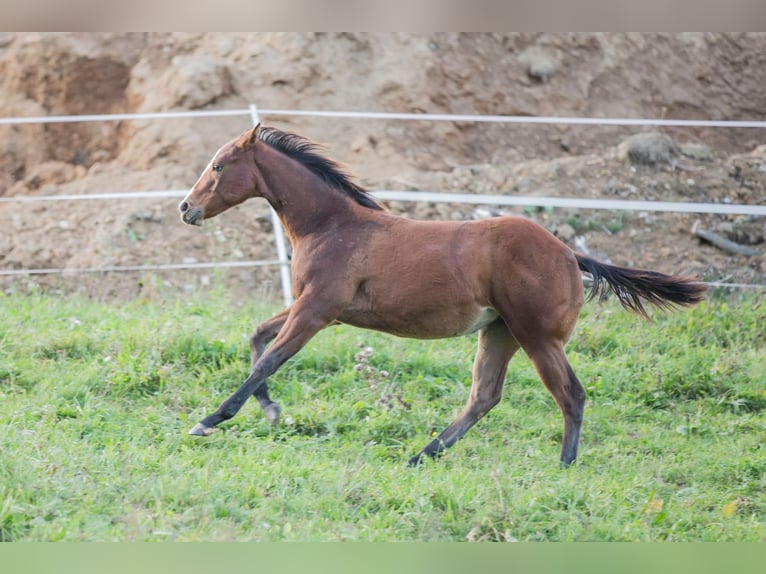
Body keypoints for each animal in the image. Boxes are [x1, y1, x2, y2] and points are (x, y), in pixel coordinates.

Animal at [178, 125, 707, 467]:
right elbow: (257, 337)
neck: (333, 225)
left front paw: (211, 419)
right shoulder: (318, 307)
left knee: (570, 395)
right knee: (484, 396)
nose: (186, 207)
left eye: (219, 165)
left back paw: (564, 466)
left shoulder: (318, 310)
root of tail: (569, 253)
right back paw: (422, 455)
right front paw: (270, 410)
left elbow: (270, 357)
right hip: (500, 332)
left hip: (538, 337)